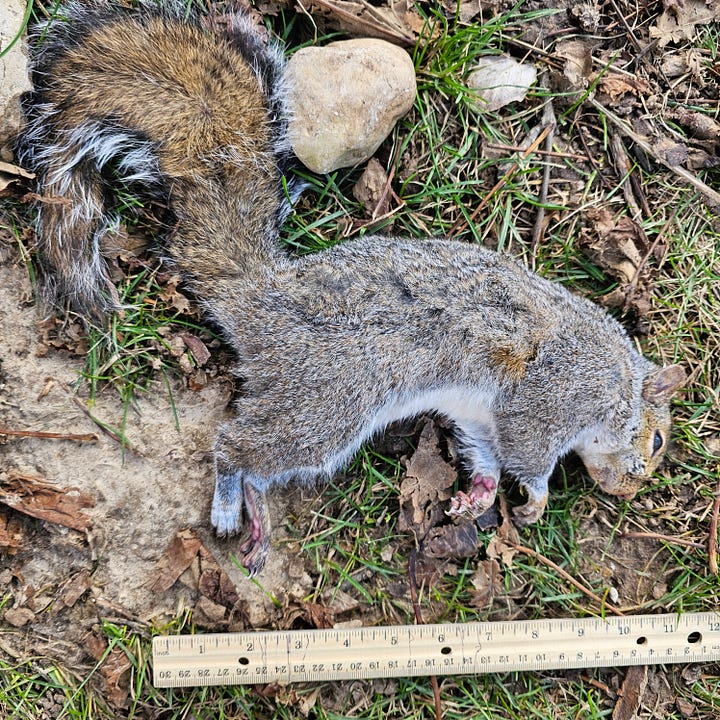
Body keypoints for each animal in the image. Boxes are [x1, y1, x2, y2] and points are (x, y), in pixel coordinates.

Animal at [16, 1, 686, 574]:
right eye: (655, 440)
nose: (629, 490)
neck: (618, 381)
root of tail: (265, 297)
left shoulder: (481, 413)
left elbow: (486, 451)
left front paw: (479, 494)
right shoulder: (553, 395)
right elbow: (531, 452)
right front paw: (538, 498)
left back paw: (255, 516)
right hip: (329, 403)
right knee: (237, 445)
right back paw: (230, 502)